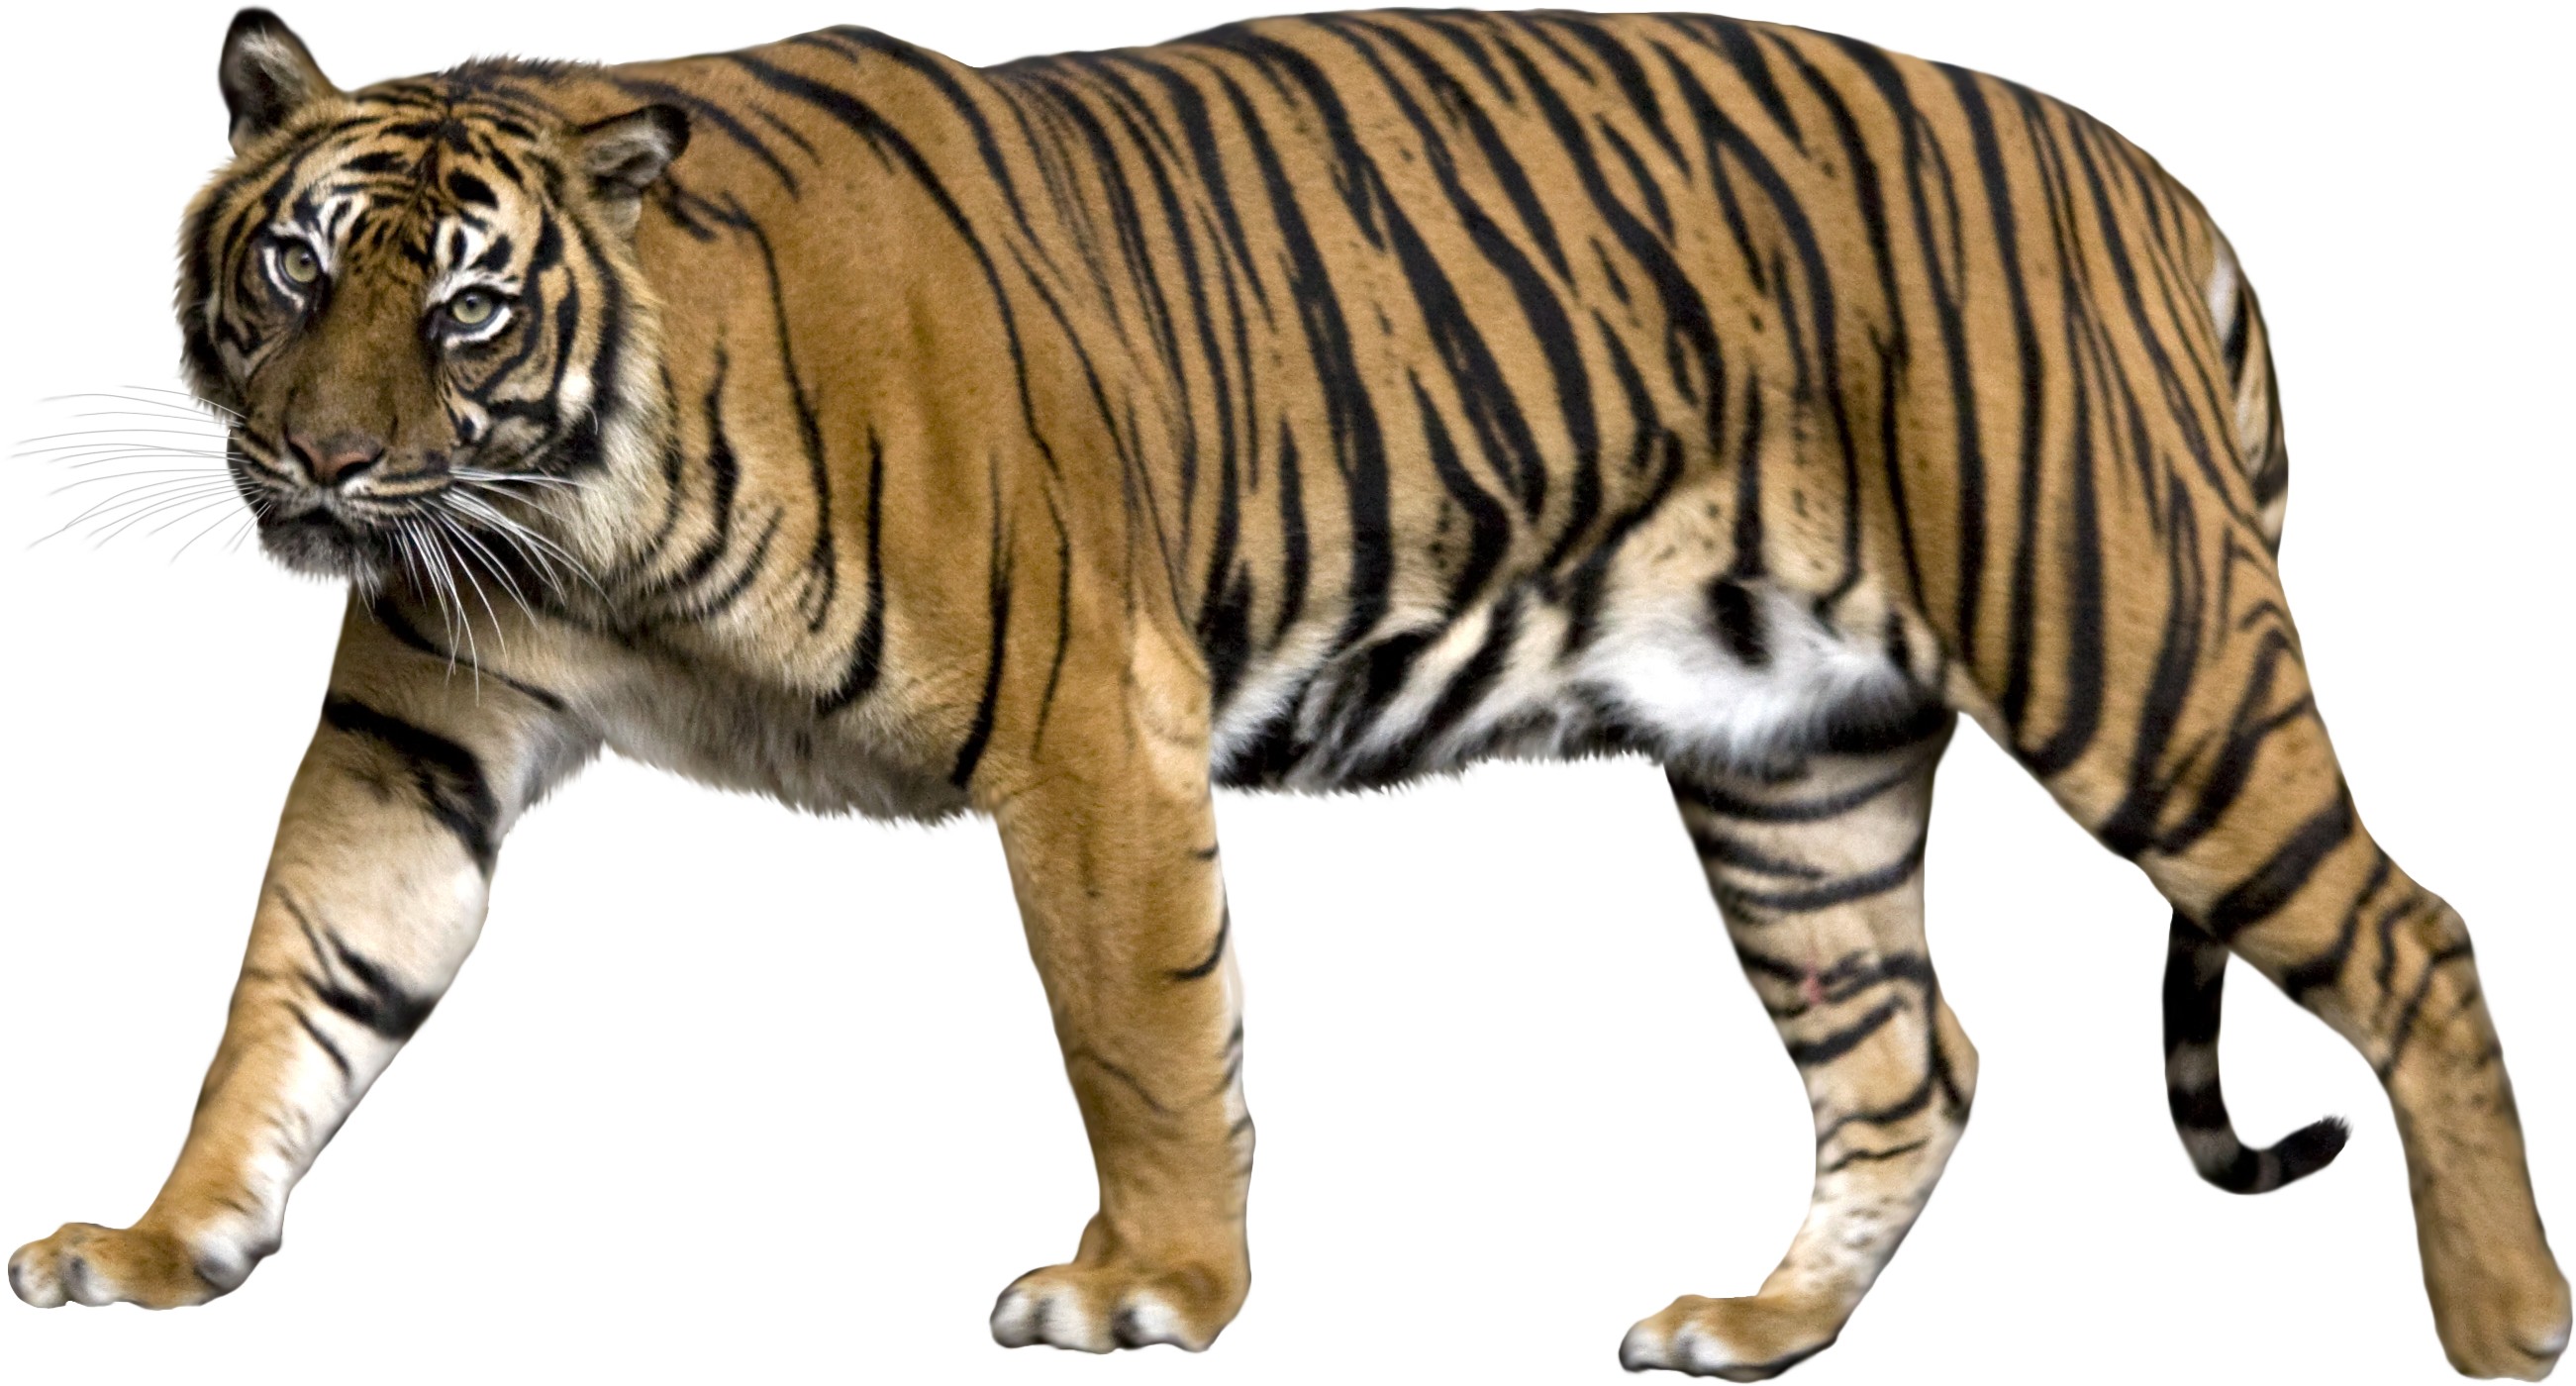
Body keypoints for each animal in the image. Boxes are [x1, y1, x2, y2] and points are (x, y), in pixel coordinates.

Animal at [5, 3, 2566, 1378]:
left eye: (461, 306)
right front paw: (158, 1241)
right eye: (287, 272)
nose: (323, 467)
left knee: (2412, 935)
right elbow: (294, 990)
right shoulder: (415, 732)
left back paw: (2504, 1323)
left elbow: (1141, 1028)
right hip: (1795, 775)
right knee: (1908, 1061)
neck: (575, 522)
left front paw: (1145, 1286)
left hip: (2127, 646)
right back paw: (1749, 1334)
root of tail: (2150, 182)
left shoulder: (1084, 718)